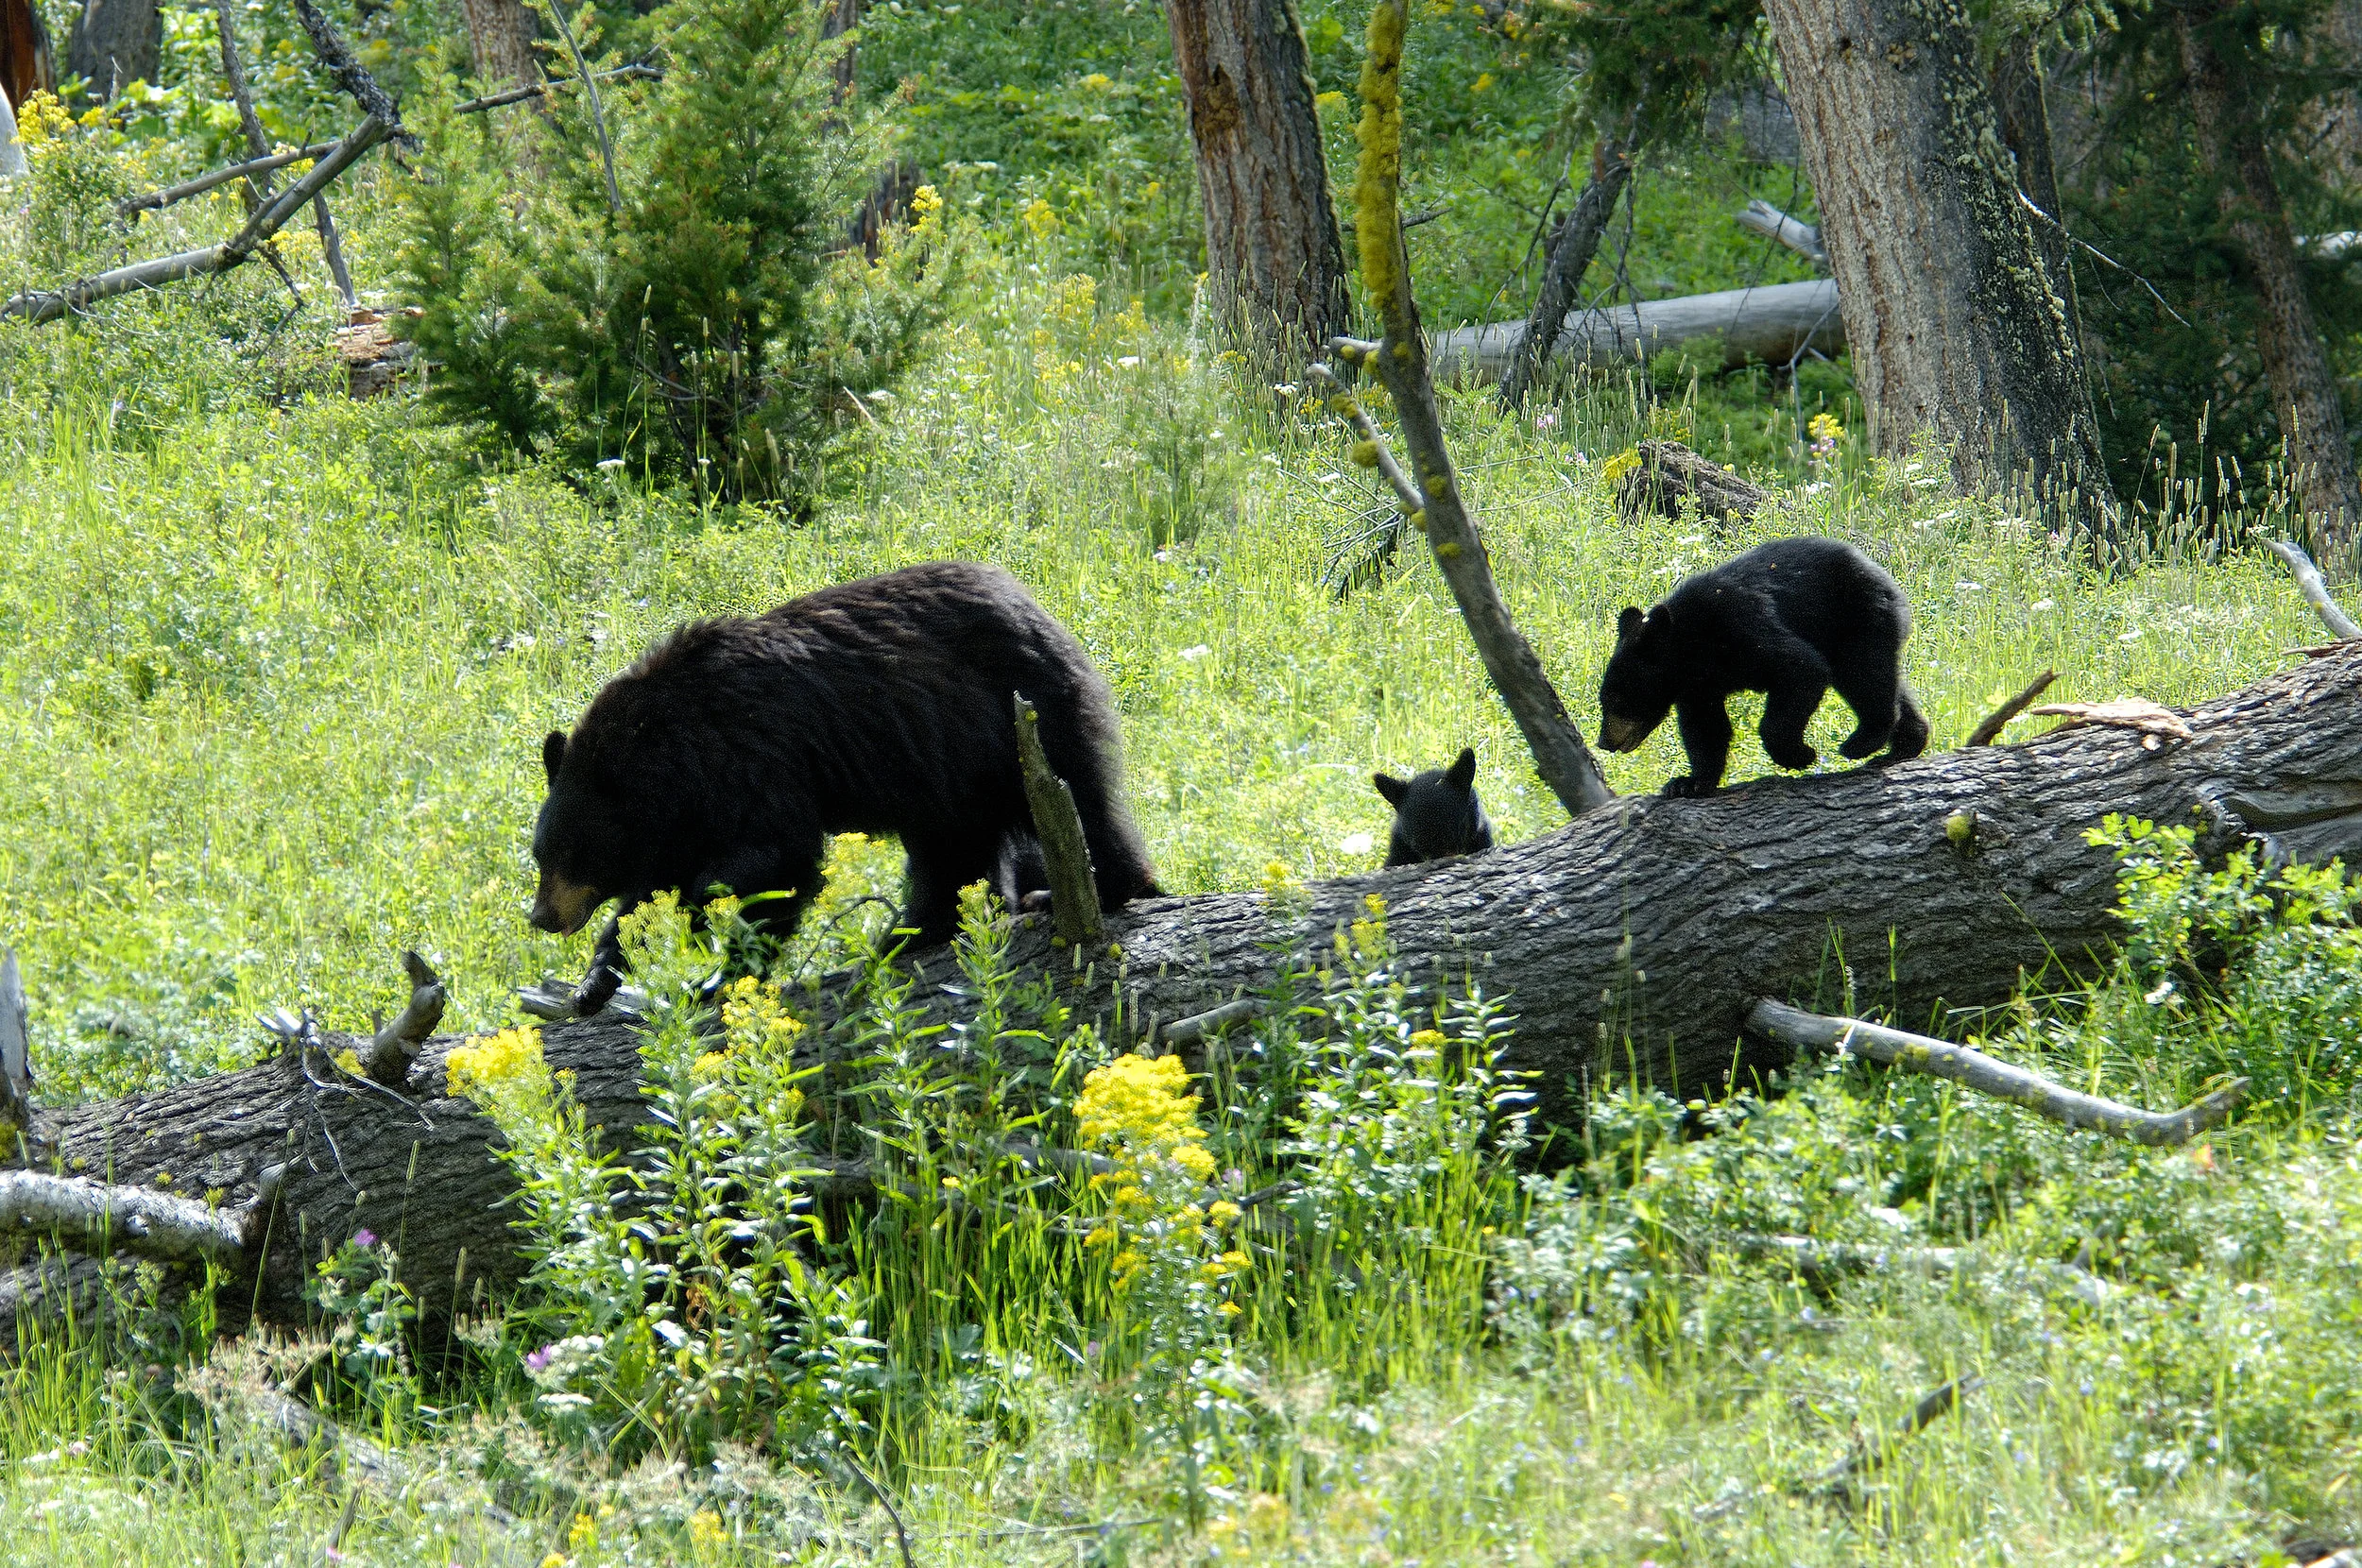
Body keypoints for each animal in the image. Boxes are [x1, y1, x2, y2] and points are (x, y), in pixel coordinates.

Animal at [529, 561, 1163, 1015]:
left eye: (567, 853)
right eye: (540, 854)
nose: (540, 917)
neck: (668, 755)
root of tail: (1040, 609)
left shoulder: (752, 761)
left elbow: (776, 862)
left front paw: (715, 966)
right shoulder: (686, 815)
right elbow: (646, 897)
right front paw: (595, 981)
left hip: (1016, 721)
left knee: (1078, 798)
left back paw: (1085, 891)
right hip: (945, 769)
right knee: (950, 848)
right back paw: (913, 932)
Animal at [1594, 536, 1929, 798]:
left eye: (1617, 699)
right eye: (1605, 699)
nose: (1604, 741)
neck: (1689, 644)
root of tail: (1883, 573)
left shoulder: (1740, 625)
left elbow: (1801, 667)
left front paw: (1800, 755)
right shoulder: (1698, 685)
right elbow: (1705, 727)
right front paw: (1689, 783)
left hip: (1857, 615)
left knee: (1865, 676)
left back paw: (1861, 742)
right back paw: (1905, 745)